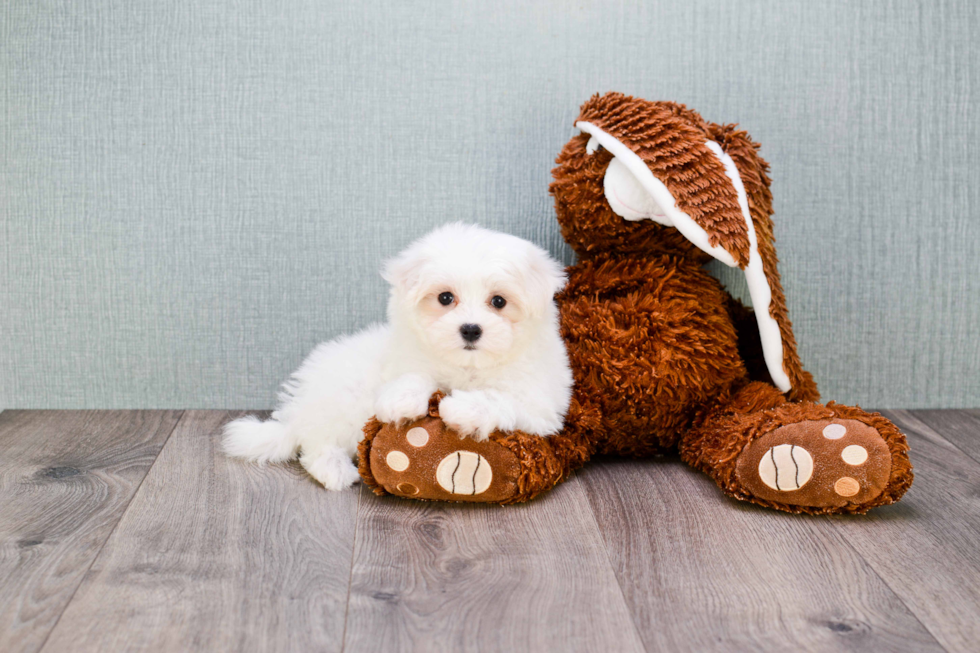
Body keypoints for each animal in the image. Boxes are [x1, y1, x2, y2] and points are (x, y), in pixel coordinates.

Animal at [220, 223, 576, 488]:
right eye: (445, 298)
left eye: (499, 301)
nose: (471, 329)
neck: (466, 366)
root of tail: (299, 410)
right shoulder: (406, 360)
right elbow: (412, 376)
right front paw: (401, 403)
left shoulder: (540, 403)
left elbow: (498, 397)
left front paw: (461, 409)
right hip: (341, 406)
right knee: (314, 444)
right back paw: (336, 470)